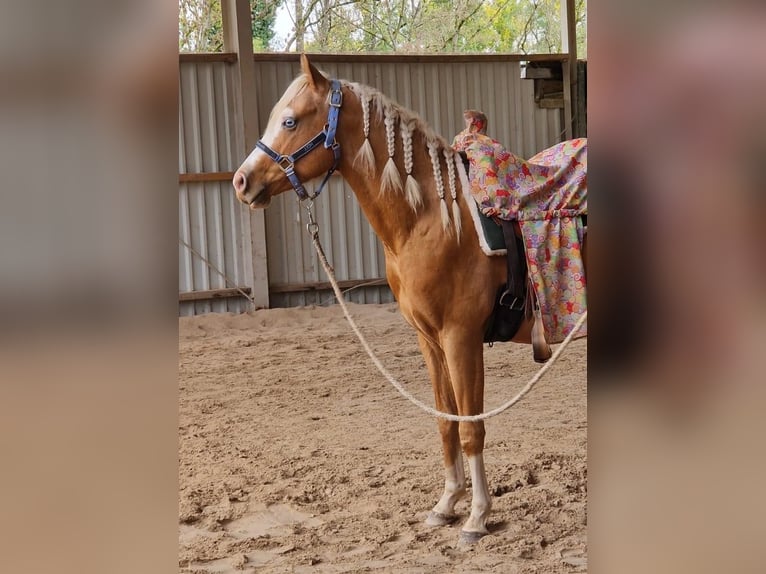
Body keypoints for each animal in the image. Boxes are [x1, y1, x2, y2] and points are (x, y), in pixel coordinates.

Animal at [233, 54, 583, 543]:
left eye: (289, 120)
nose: (241, 181)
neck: (429, 219)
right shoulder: (430, 340)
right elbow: (445, 422)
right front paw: (447, 504)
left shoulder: (461, 339)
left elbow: (471, 428)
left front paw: (477, 517)